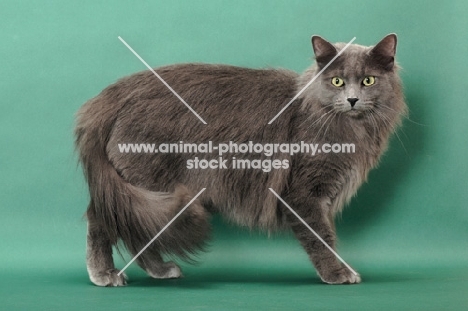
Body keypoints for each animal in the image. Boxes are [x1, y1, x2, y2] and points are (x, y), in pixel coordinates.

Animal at [76, 34, 406, 288]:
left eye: (368, 80)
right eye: (337, 81)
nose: (352, 99)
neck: (351, 130)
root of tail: (110, 97)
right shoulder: (303, 194)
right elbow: (322, 237)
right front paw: (337, 273)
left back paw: (159, 271)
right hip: (145, 181)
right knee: (104, 219)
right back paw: (104, 274)